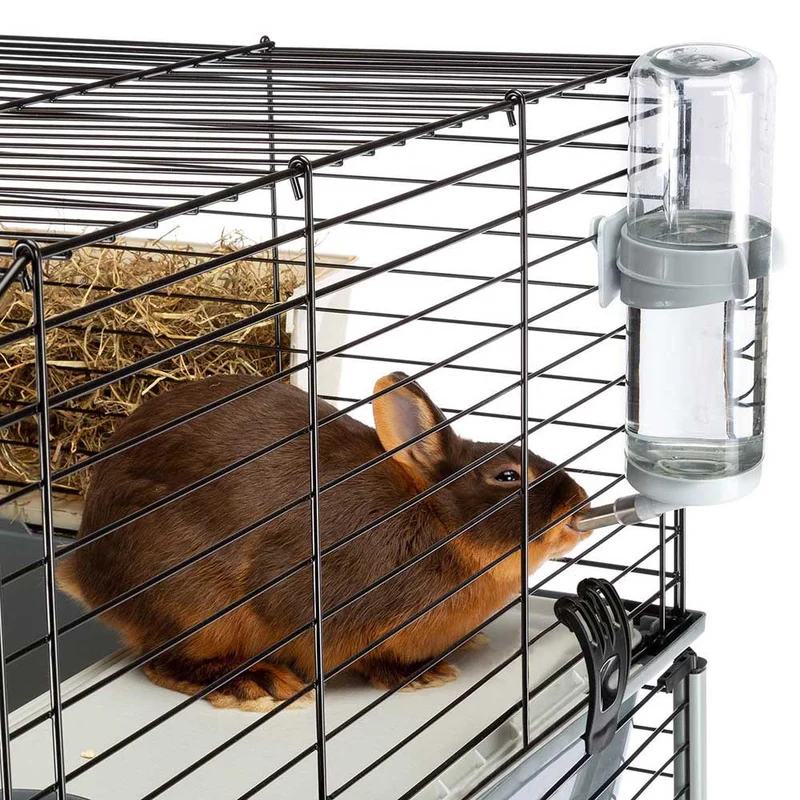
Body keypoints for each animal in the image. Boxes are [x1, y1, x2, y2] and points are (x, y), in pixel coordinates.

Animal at [58, 372, 590, 712]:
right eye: (507, 476)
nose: (580, 502)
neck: (437, 521)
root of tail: (82, 570)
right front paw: (416, 675)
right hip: (192, 604)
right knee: (165, 660)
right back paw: (256, 683)